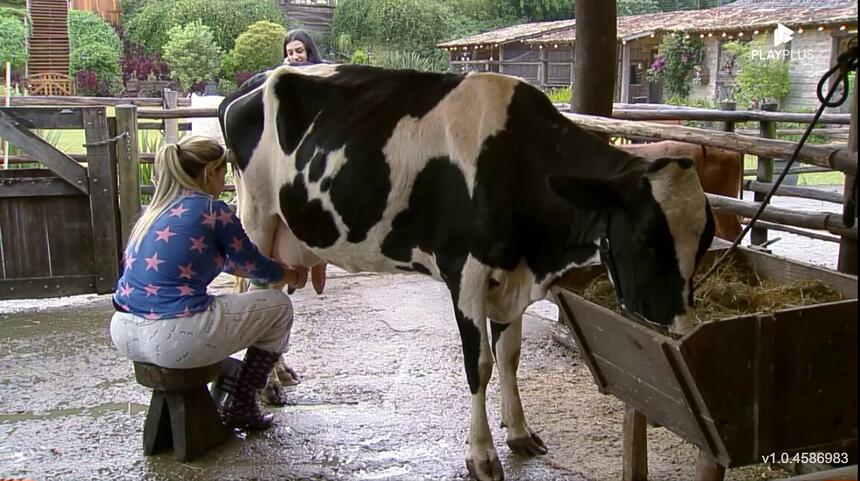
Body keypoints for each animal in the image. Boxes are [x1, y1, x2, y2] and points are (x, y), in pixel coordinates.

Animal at [218, 63, 716, 480]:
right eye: (647, 237)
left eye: (705, 239)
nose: (681, 328)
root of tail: (248, 85)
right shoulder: (467, 272)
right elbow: (479, 364)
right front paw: (482, 454)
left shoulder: (511, 277)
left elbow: (510, 356)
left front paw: (519, 432)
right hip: (257, 220)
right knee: (257, 290)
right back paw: (266, 386)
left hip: (287, 235)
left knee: (275, 290)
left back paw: (279, 375)